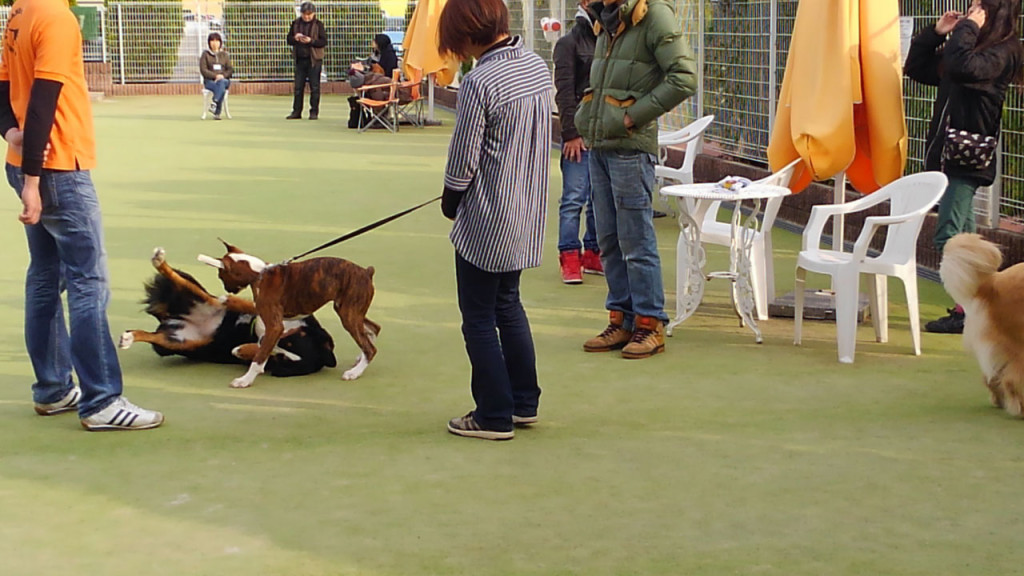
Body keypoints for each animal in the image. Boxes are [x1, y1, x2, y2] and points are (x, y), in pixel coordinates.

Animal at [119, 248, 335, 377]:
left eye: (279, 359)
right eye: (288, 340)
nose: (262, 340)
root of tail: (172, 319)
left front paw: (242, 351)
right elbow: (248, 304)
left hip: (179, 342)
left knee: (152, 336)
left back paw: (129, 337)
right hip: (200, 297)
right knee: (180, 280)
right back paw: (159, 260)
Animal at [196, 237, 380, 385]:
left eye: (220, 275)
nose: (226, 288)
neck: (260, 273)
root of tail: (366, 272)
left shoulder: (274, 326)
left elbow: (260, 357)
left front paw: (245, 380)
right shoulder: (265, 312)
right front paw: (227, 300)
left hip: (348, 314)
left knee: (370, 347)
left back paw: (355, 372)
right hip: (350, 310)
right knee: (373, 329)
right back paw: (360, 358)